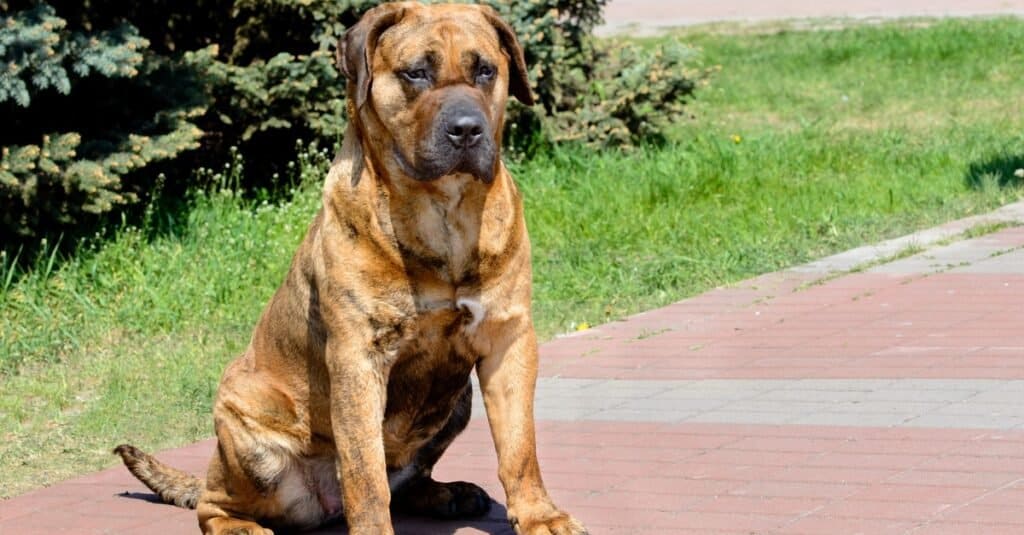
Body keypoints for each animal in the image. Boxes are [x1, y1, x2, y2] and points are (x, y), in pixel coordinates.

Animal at [113, 4, 589, 532]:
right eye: (416, 73)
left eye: (485, 70)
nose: (467, 129)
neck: (442, 212)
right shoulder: (358, 357)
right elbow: (364, 471)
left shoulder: (508, 338)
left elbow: (519, 446)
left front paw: (540, 515)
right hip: (243, 424)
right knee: (214, 502)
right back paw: (240, 523)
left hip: (457, 401)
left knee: (407, 478)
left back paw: (447, 494)